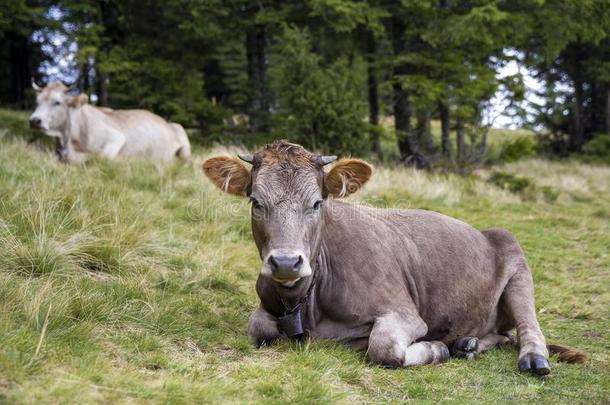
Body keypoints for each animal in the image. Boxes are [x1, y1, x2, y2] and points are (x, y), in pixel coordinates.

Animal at [28, 81, 189, 163]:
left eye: (57, 102)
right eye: (37, 101)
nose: (35, 120)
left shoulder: (116, 137)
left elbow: (99, 156)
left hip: (182, 137)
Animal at [204, 140, 584, 374]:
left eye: (317, 202)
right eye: (256, 202)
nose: (285, 262)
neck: (307, 304)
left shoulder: (405, 313)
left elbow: (383, 348)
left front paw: (436, 349)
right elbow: (259, 329)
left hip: (515, 258)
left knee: (527, 324)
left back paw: (532, 358)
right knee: (501, 334)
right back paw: (469, 344)